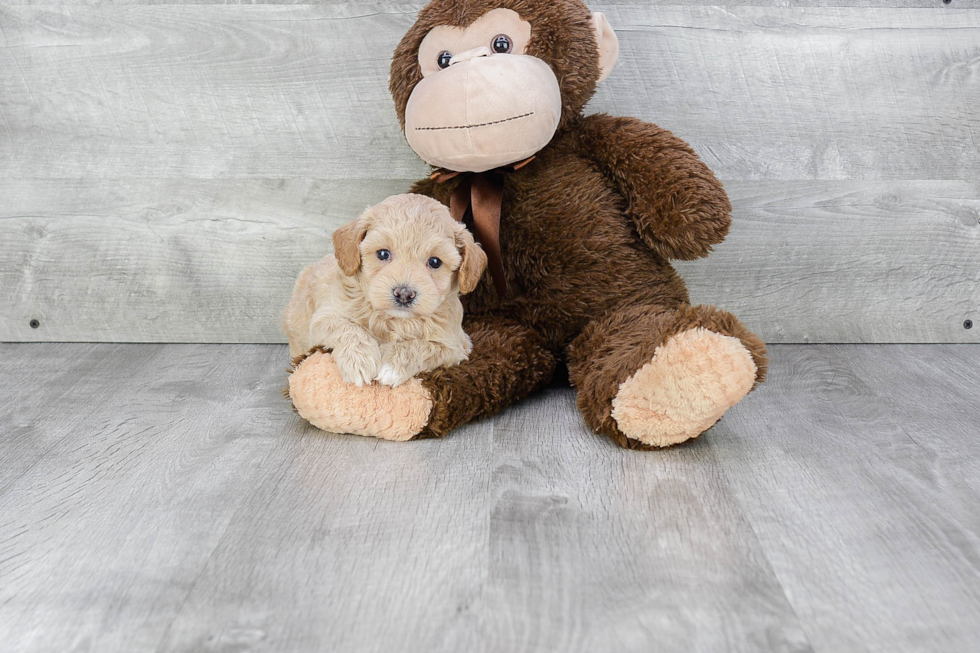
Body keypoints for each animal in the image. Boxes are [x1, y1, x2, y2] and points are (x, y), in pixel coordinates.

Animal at [280, 194, 486, 388]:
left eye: (435, 262)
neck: (393, 320)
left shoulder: (455, 345)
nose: (404, 294)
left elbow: (424, 347)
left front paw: (391, 364)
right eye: (383, 254)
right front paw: (359, 361)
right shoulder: (325, 317)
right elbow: (348, 328)